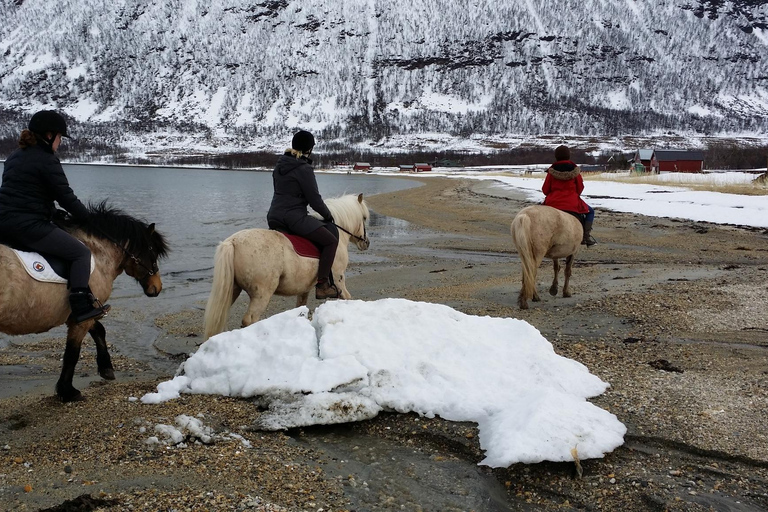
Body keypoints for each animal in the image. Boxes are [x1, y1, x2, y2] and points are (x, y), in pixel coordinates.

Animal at [0, 202, 168, 402]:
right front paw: (68, 391)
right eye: (152, 251)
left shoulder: (82, 313)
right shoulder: (83, 318)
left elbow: (99, 330)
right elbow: (72, 353)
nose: (157, 287)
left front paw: (106, 368)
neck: (96, 252)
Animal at [202, 193, 370, 340]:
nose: (366, 243)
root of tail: (233, 242)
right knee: (250, 319)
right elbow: (347, 298)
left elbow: (301, 306)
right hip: (261, 294)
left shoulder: (304, 289)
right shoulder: (338, 278)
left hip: (233, 290)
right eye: (364, 218)